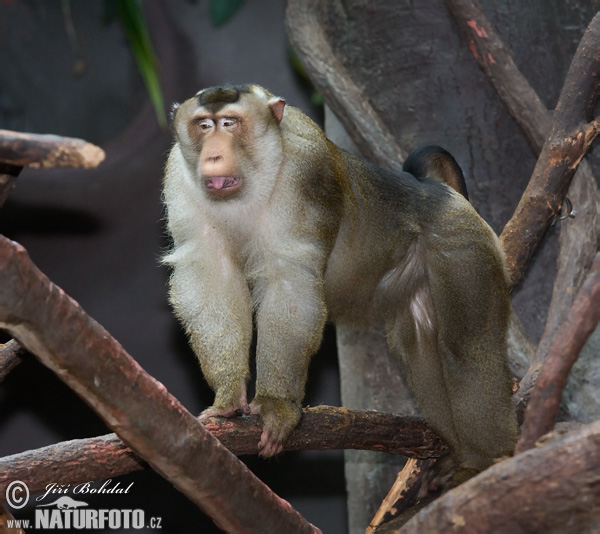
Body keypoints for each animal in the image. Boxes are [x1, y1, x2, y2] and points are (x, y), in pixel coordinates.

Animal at [162, 84, 516, 486]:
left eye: (230, 123)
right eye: (204, 125)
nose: (214, 153)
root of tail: (437, 190)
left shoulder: (306, 169)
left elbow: (290, 280)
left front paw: (276, 405)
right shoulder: (177, 175)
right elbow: (210, 276)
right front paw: (228, 396)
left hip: (462, 243)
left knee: (466, 348)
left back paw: (486, 458)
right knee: (421, 345)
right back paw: (460, 453)